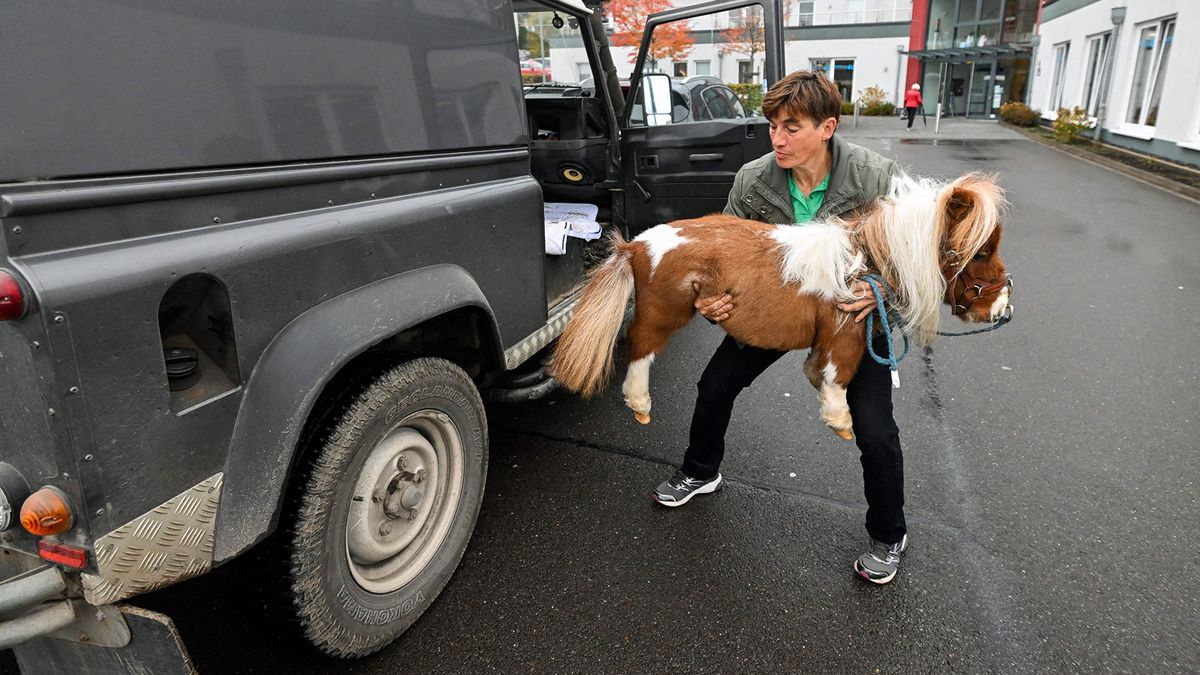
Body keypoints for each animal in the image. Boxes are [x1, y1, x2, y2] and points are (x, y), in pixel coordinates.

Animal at [550, 173, 1011, 440]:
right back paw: (640, 404)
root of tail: (636, 245)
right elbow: (837, 375)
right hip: (665, 314)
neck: (861, 262)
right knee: (640, 347)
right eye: (981, 250)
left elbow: (818, 369)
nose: (1003, 308)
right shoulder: (844, 332)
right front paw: (839, 420)